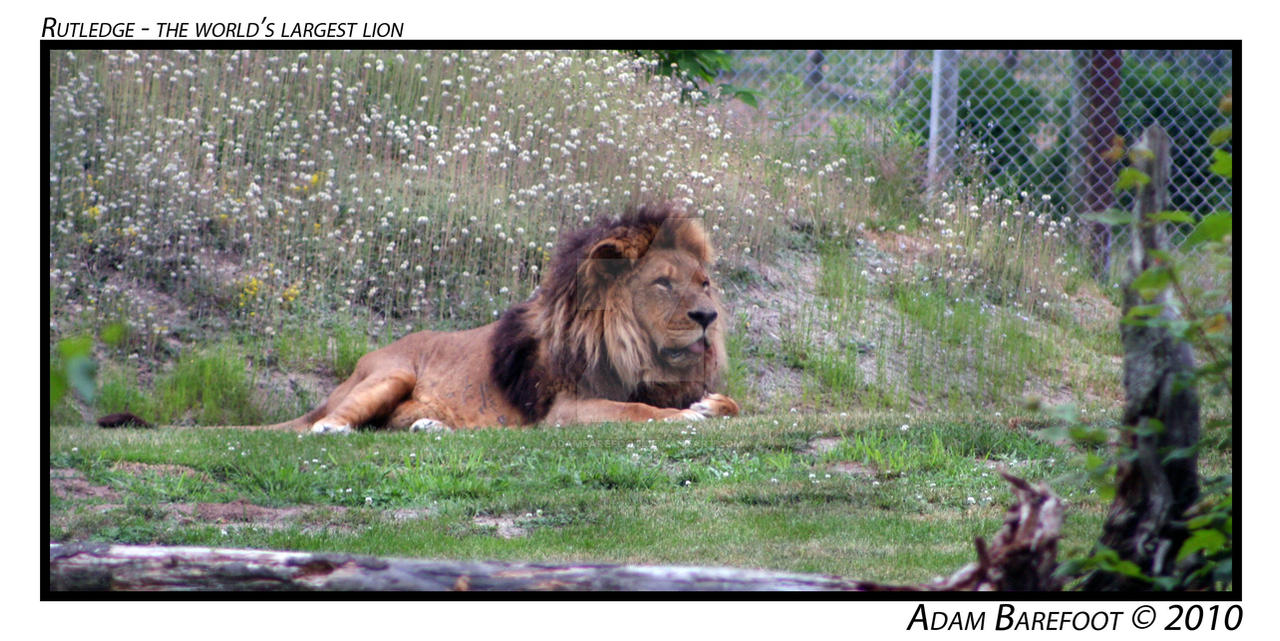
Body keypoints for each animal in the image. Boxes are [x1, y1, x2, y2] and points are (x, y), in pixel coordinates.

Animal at [252, 204, 739, 433]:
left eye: (705, 283)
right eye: (662, 283)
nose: (707, 316)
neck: (643, 354)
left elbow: (733, 405)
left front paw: (712, 406)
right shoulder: (566, 408)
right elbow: (636, 410)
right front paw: (685, 418)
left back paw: (432, 425)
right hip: (390, 374)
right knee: (326, 422)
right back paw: (332, 428)